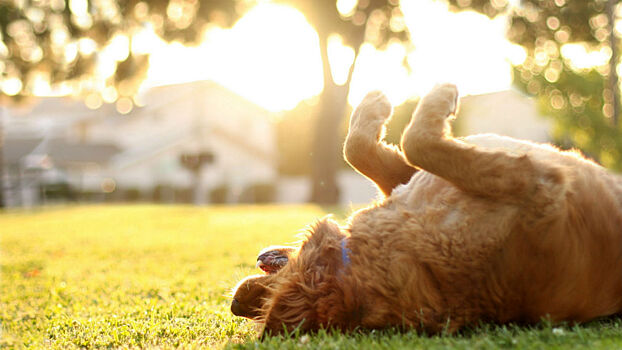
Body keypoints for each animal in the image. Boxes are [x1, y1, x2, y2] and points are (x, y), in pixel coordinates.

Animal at [232, 84, 622, 336]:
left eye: (260, 300)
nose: (236, 303)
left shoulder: (408, 180)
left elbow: (357, 148)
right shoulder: (536, 183)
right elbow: (416, 141)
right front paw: (435, 96)